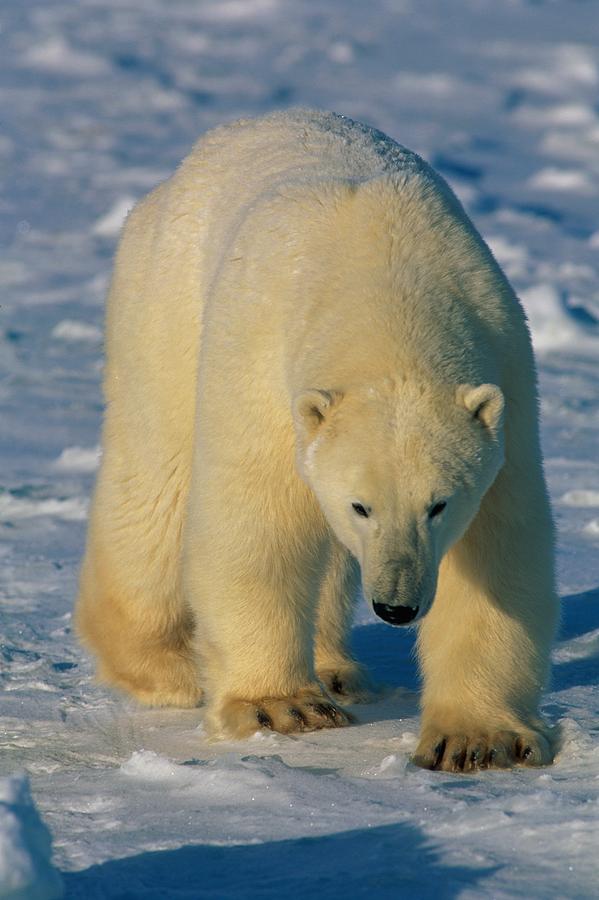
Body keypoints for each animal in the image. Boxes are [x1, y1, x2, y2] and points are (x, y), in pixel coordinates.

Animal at [77, 109, 560, 768]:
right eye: (361, 505)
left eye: (439, 505)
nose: (397, 606)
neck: (386, 280)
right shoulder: (264, 360)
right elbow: (259, 519)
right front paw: (283, 708)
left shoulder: (504, 371)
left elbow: (497, 547)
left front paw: (475, 740)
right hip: (164, 303)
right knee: (156, 479)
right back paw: (163, 665)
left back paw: (337, 668)